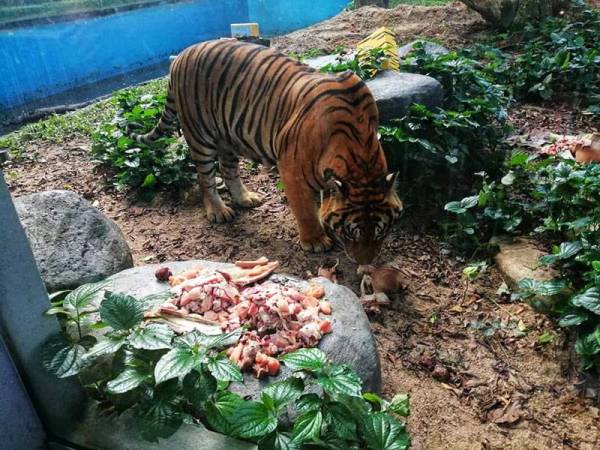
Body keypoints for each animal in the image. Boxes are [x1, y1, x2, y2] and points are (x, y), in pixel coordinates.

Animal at [132, 38, 404, 266]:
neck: (361, 159)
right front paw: (315, 240)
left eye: (381, 232)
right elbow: (305, 209)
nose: (365, 263)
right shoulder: (291, 171)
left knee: (229, 170)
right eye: (351, 233)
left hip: (228, 137)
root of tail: (181, 54)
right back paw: (218, 211)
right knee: (205, 178)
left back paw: (245, 198)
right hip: (200, 135)